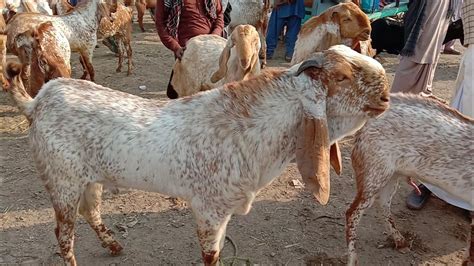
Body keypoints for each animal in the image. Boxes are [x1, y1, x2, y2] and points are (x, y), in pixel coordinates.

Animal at [3, 45, 388, 266]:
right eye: (342, 76)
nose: (386, 94)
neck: (248, 131)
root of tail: (38, 102)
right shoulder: (208, 209)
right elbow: (210, 254)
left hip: (89, 179)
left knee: (90, 212)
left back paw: (113, 244)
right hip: (62, 182)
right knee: (63, 233)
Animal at [344, 92, 474, 264]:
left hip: (392, 175)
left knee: (383, 205)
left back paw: (399, 240)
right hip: (373, 176)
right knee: (352, 213)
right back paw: (352, 258)